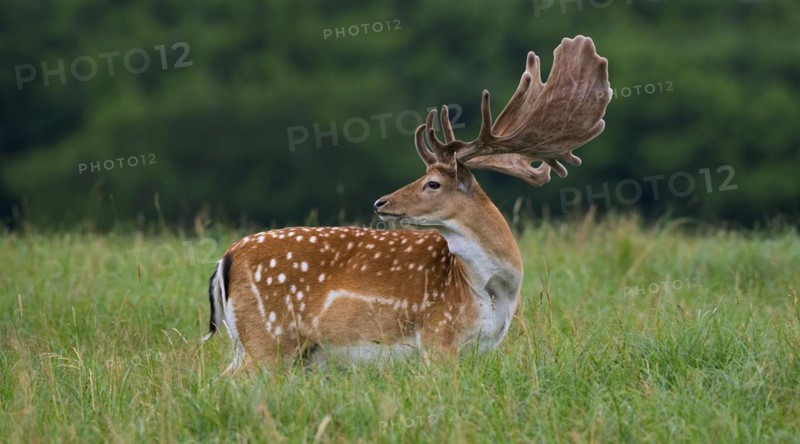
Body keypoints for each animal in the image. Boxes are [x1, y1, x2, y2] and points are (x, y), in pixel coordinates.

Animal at [202, 36, 611, 374]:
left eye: (433, 182)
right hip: (269, 337)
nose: (381, 201)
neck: (493, 288)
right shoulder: (438, 336)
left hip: (257, 344)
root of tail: (226, 259)